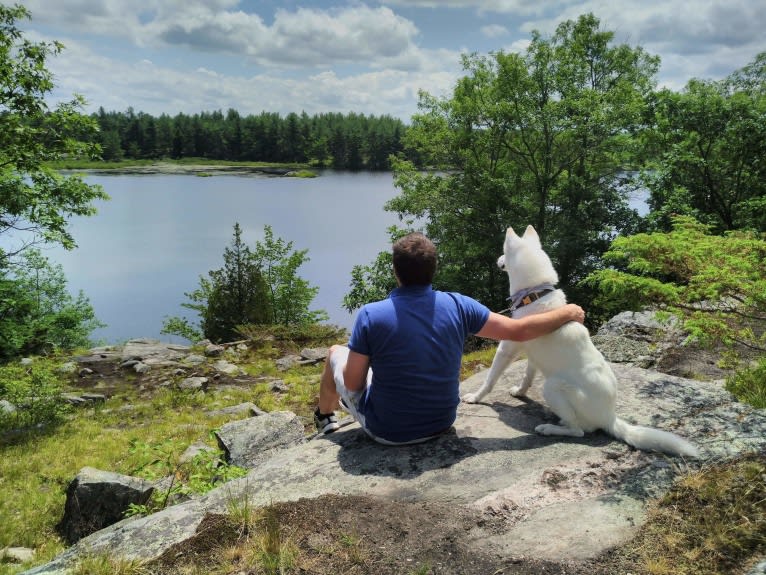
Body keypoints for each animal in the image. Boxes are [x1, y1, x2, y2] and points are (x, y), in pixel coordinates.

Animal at [462, 225, 704, 460]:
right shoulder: (533, 357)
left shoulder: (506, 349)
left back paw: (550, 428)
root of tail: (610, 418)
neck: (536, 294)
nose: (497, 260)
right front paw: (520, 392)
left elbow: (490, 380)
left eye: (504, 251)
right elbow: (526, 377)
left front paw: (475, 397)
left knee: (578, 431)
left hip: (552, 386)